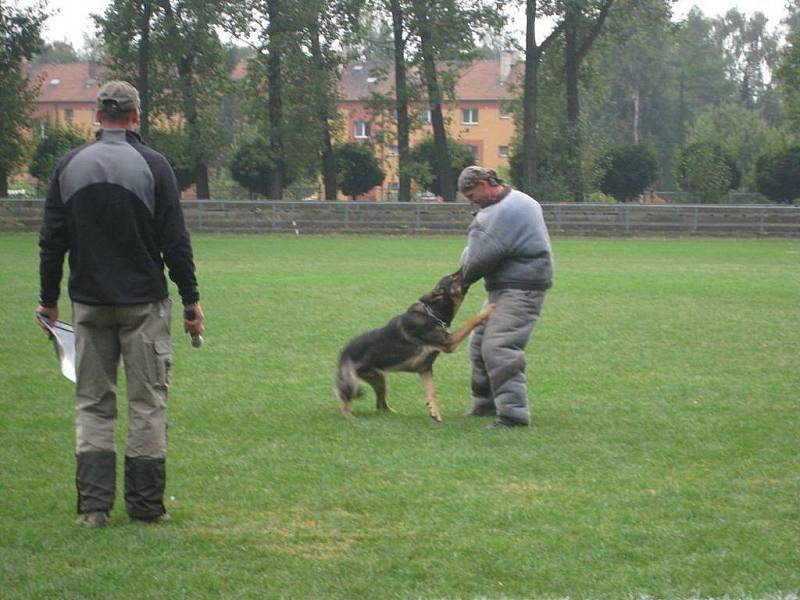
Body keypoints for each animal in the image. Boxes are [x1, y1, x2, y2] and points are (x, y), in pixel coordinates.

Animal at [332, 272, 494, 422]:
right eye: (453, 277)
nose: (463, 269)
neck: (432, 313)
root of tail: (342, 354)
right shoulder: (448, 343)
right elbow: (470, 321)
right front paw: (488, 310)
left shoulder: (425, 369)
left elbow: (432, 392)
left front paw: (434, 411)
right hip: (353, 384)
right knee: (343, 398)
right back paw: (349, 417)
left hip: (379, 379)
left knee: (380, 405)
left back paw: (394, 414)